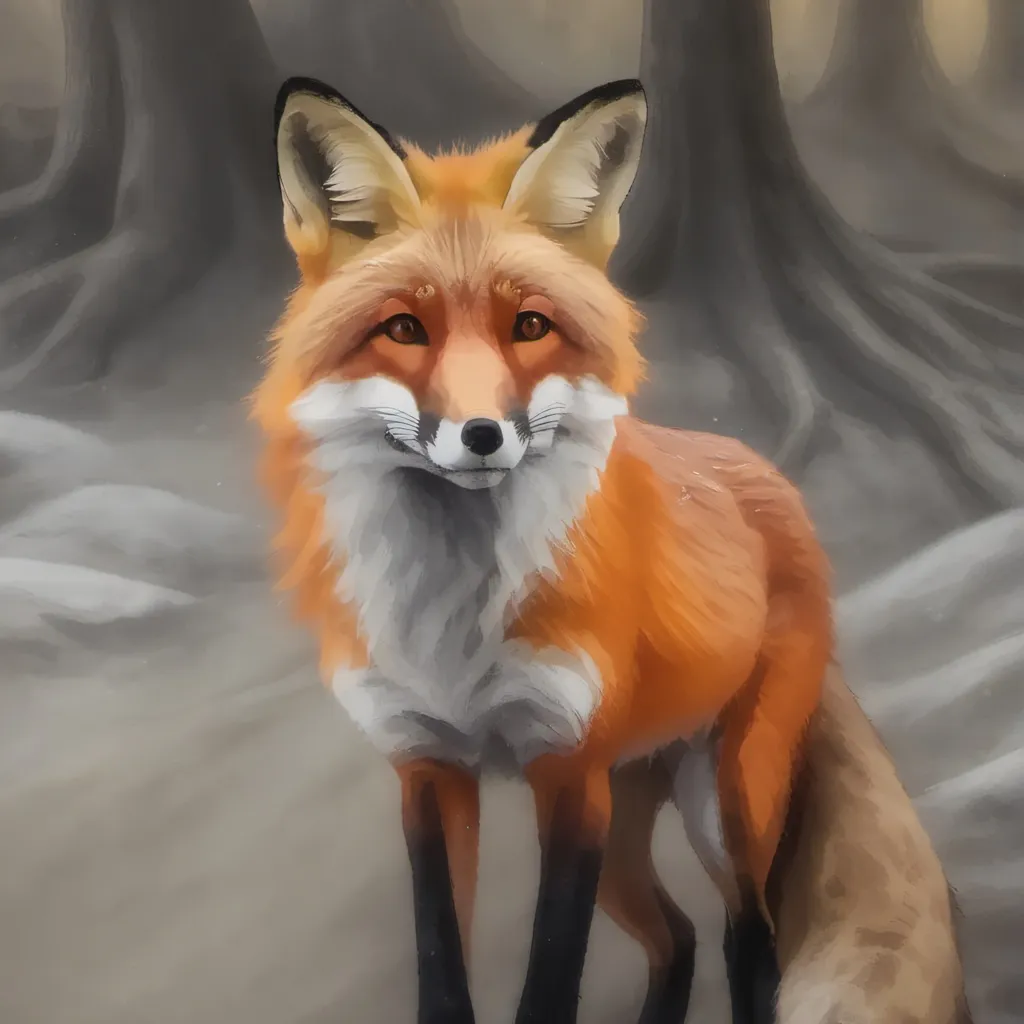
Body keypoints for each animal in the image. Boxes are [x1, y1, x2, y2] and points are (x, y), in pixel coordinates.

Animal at [251, 74, 896, 1024]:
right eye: (404, 330)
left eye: (529, 326)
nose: (483, 435)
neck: (456, 624)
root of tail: (756, 463)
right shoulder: (429, 768)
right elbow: (441, 965)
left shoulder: (567, 773)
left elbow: (550, 979)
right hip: (628, 829)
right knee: (678, 938)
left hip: (729, 802)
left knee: (750, 940)